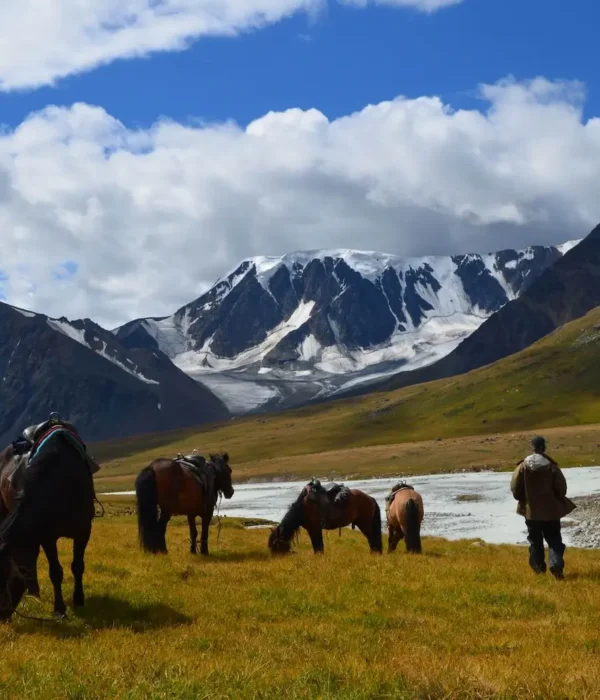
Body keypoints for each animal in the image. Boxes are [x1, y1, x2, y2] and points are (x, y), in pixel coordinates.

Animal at [0, 425, 96, 619]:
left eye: (3, 575)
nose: (2, 615)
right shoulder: (47, 536)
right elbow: (55, 572)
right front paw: (59, 609)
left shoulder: (83, 531)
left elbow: (78, 566)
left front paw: (79, 601)